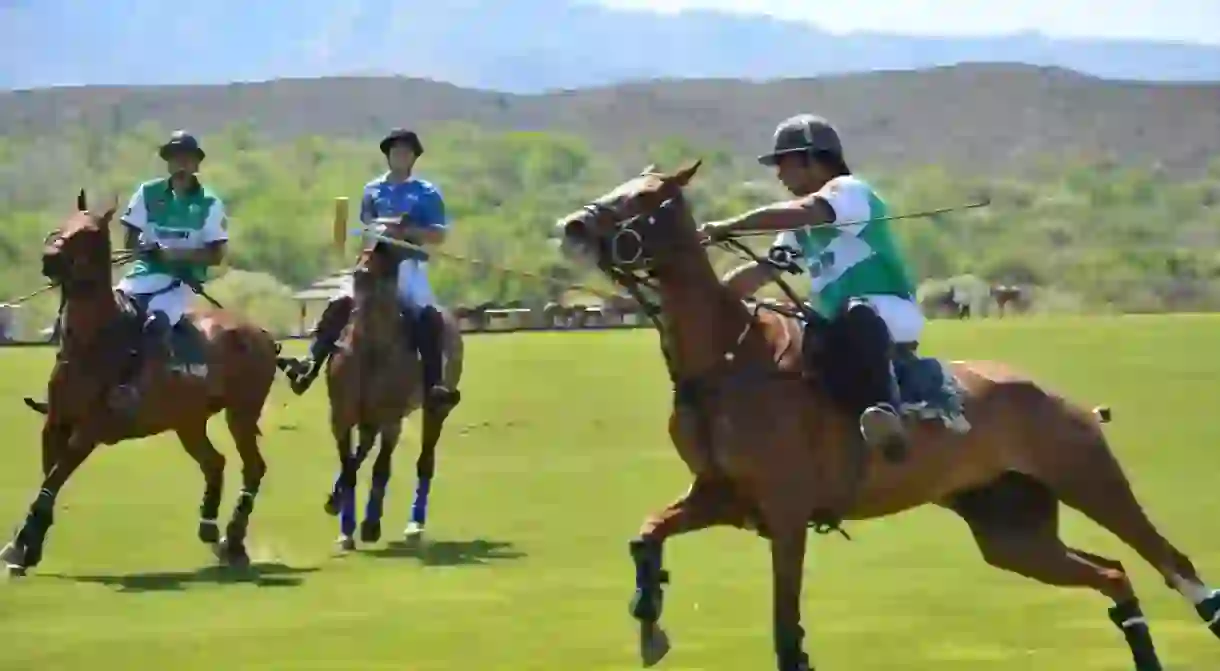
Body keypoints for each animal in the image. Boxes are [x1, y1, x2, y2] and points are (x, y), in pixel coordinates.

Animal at [0, 190, 279, 578]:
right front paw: (27, 548)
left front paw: (18, 548)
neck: (92, 340)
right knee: (215, 462)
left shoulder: (90, 429)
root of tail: (264, 333)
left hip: (242, 413)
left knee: (252, 466)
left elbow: (53, 480)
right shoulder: (55, 423)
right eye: (64, 222)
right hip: (188, 421)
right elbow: (48, 481)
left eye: (89, 231)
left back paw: (234, 543)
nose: (49, 257)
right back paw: (210, 529)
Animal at [319, 239, 461, 549]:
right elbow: (349, 466)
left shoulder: (391, 419)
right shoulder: (341, 416)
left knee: (425, 461)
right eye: (362, 254)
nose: (360, 275)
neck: (371, 346)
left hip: (434, 410)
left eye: (386, 258)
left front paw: (370, 525)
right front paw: (344, 527)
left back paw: (414, 525)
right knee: (361, 452)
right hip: (367, 417)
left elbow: (380, 469)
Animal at [556, 164, 1220, 671]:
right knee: (1113, 574)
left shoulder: (786, 511)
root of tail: (1065, 397)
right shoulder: (722, 496)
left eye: (644, 197)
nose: (573, 226)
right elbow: (646, 535)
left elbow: (787, 633)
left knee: (1170, 561)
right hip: (1010, 531)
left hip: (1086, 474)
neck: (725, 361)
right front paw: (649, 622)